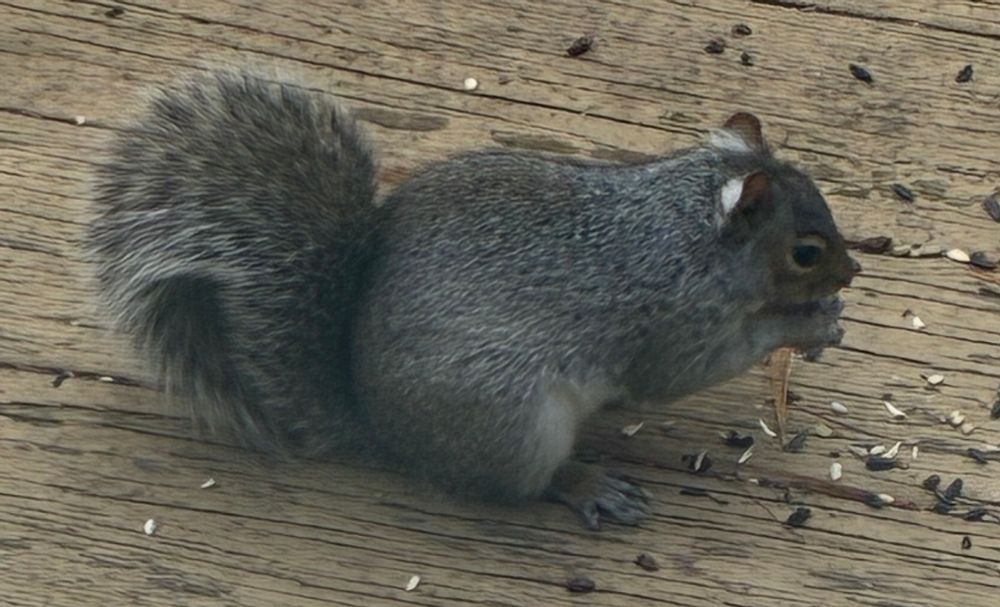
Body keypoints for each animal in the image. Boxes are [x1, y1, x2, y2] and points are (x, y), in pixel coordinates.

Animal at [88, 70, 860, 530]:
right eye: (806, 250)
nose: (851, 271)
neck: (683, 228)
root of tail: (382, 427)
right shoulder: (669, 317)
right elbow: (685, 370)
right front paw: (803, 324)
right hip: (512, 420)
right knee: (520, 483)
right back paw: (586, 484)